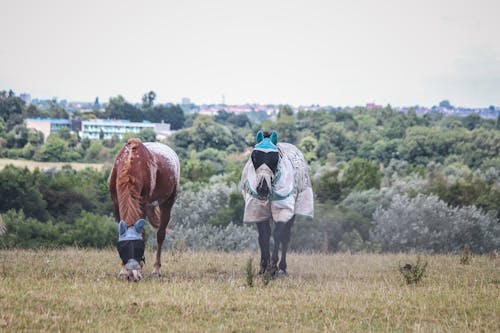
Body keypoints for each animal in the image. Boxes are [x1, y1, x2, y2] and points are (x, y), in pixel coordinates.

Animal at [110, 137, 181, 280]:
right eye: (122, 248)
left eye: (140, 248)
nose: (132, 275)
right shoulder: (116, 203)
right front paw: (123, 271)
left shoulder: (143, 202)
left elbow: (142, 233)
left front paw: (140, 269)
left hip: (167, 202)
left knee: (161, 234)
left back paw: (156, 269)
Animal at [239, 130, 312, 274]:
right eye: (254, 157)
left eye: (275, 158)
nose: (262, 188)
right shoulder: (258, 209)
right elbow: (264, 236)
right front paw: (263, 267)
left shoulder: (283, 209)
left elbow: (278, 235)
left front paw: (273, 267)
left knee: (286, 236)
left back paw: (282, 268)